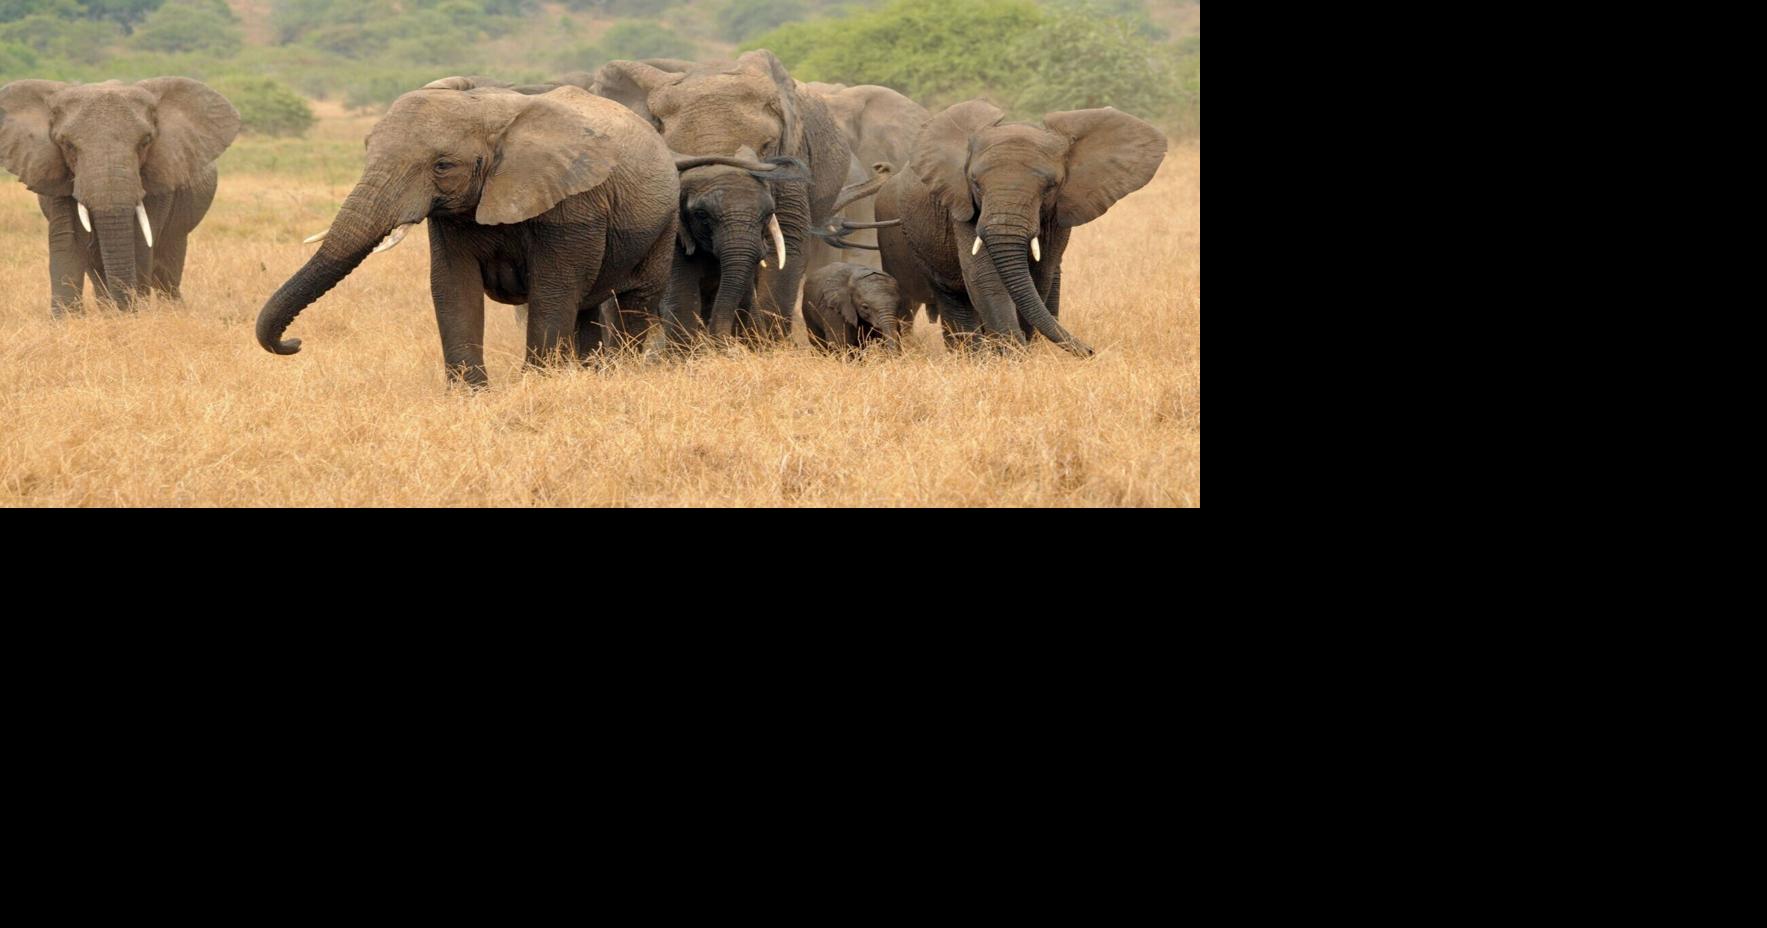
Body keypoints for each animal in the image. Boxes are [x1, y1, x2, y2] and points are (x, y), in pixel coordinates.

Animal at [0, 78, 239, 314]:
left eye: (145, 142)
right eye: (67, 145)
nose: (125, 308)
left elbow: (141, 241)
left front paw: (135, 315)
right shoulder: (55, 173)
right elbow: (68, 239)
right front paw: (68, 319)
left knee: (167, 269)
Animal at [255, 84, 680, 388]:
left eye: (443, 166)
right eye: (366, 150)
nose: (294, 344)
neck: (490, 112)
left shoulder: (572, 204)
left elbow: (554, 289)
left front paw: (537, 386)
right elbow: (453, 285)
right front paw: (468, 394)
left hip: (665, 221)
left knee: (634, 300)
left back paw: (620, 373)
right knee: (587, 308)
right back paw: (590, 374)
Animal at [591, 51, 853, 346]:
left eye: (766, 147)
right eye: (676, 154)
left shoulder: (793, 162)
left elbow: (786, 243)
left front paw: (767, 347)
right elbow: (677, 257)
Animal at [875, 100, 1166, 357]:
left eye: (1050, 186)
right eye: (975, 183)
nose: (1092, 351)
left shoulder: (1056, 213)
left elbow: (1039, 275)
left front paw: (1020, 353)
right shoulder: (961, 204)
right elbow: (983, 275)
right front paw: (1013, 357)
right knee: (951, 295)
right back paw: (970, 357)